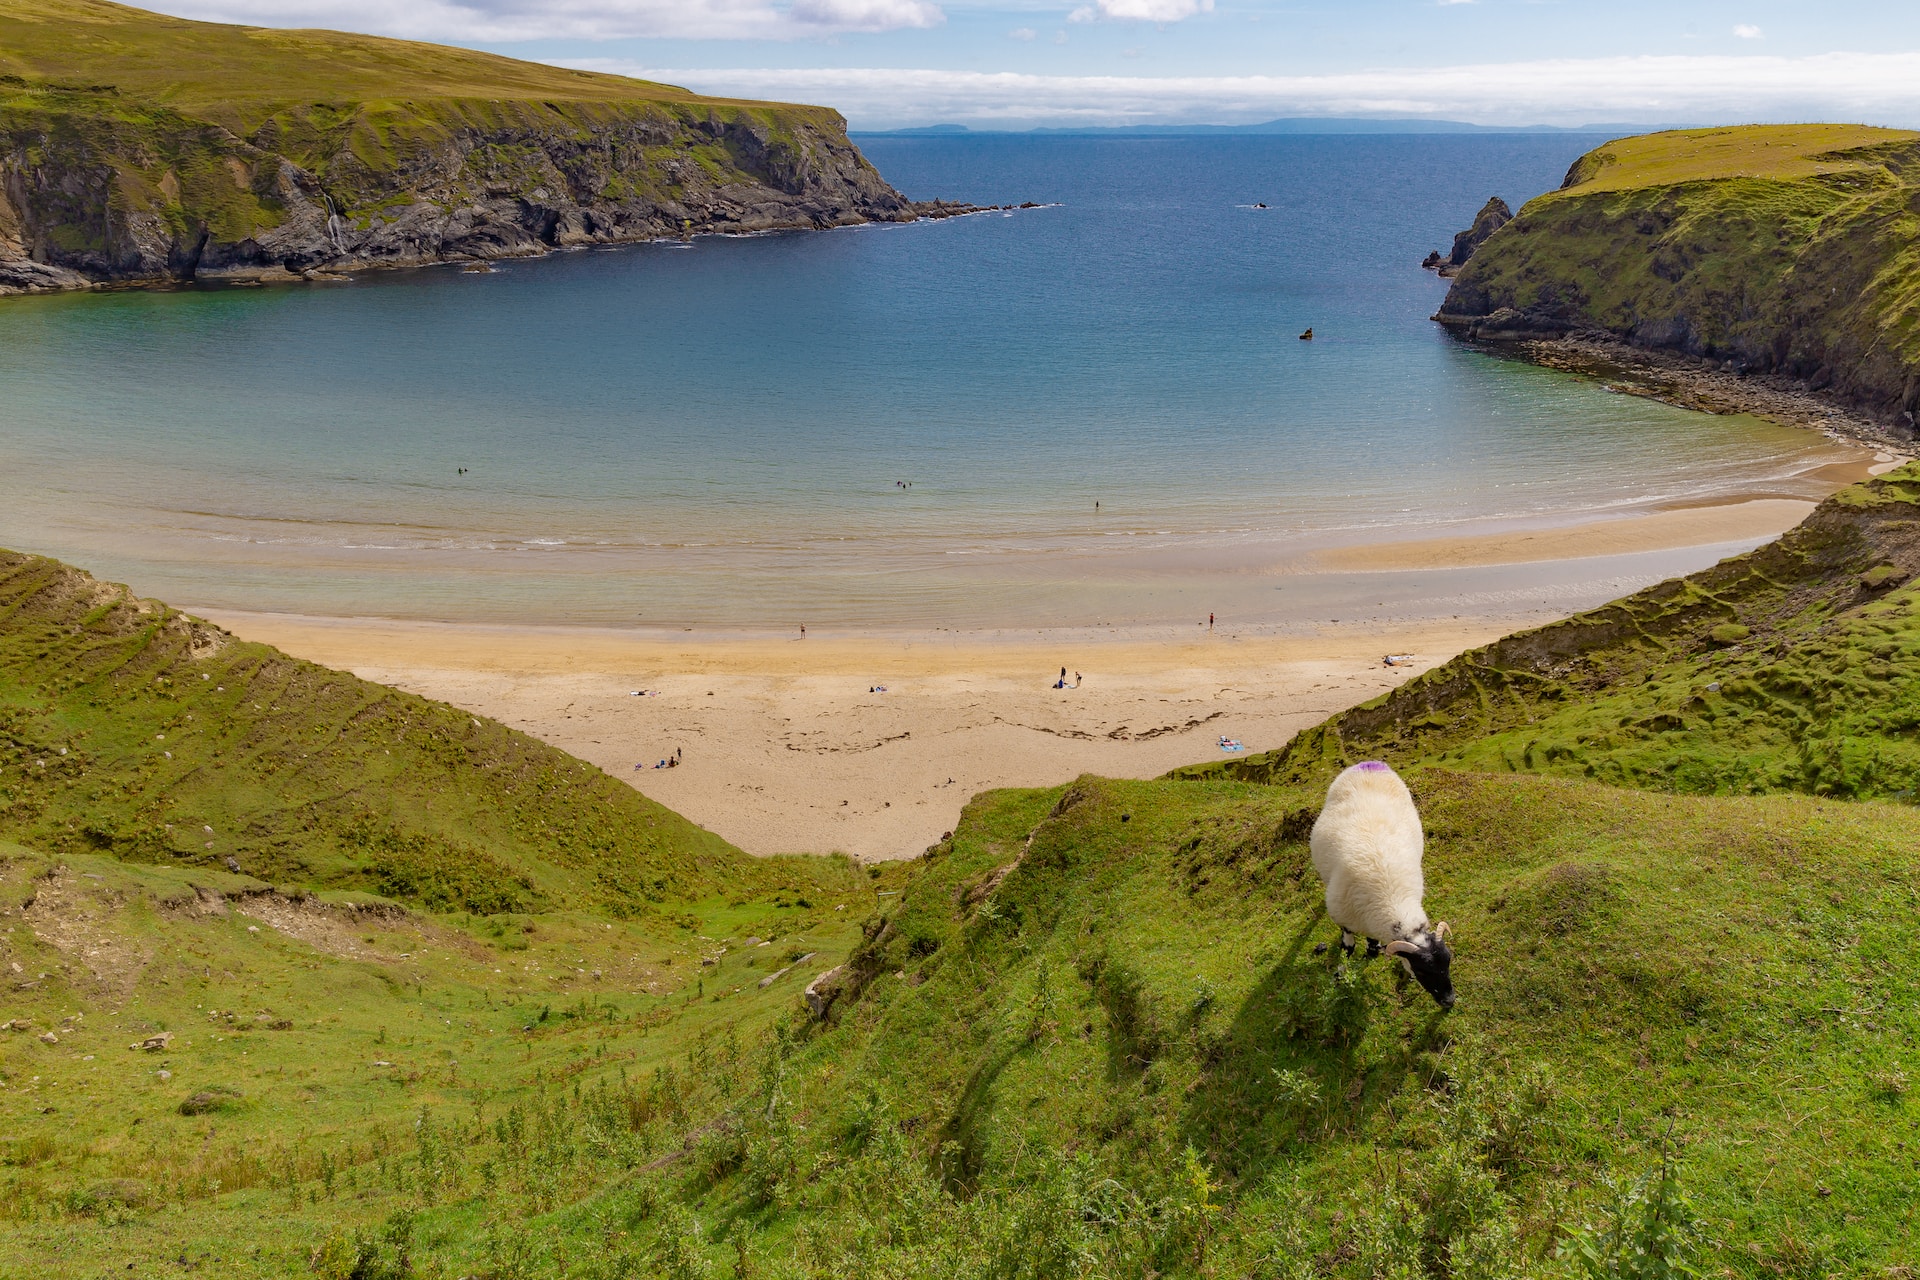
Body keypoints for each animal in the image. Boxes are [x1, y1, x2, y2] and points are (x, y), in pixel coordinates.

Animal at [1305, 759, 1451, 1013]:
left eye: (1449, 961)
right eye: (1422, 970)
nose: (1449, 1001)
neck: (1392, 900)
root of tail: (1371, 763)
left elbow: (1372, 944)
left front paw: (1371, 953)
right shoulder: (1345, 919)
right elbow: (1348, 948)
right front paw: (1341, 975)